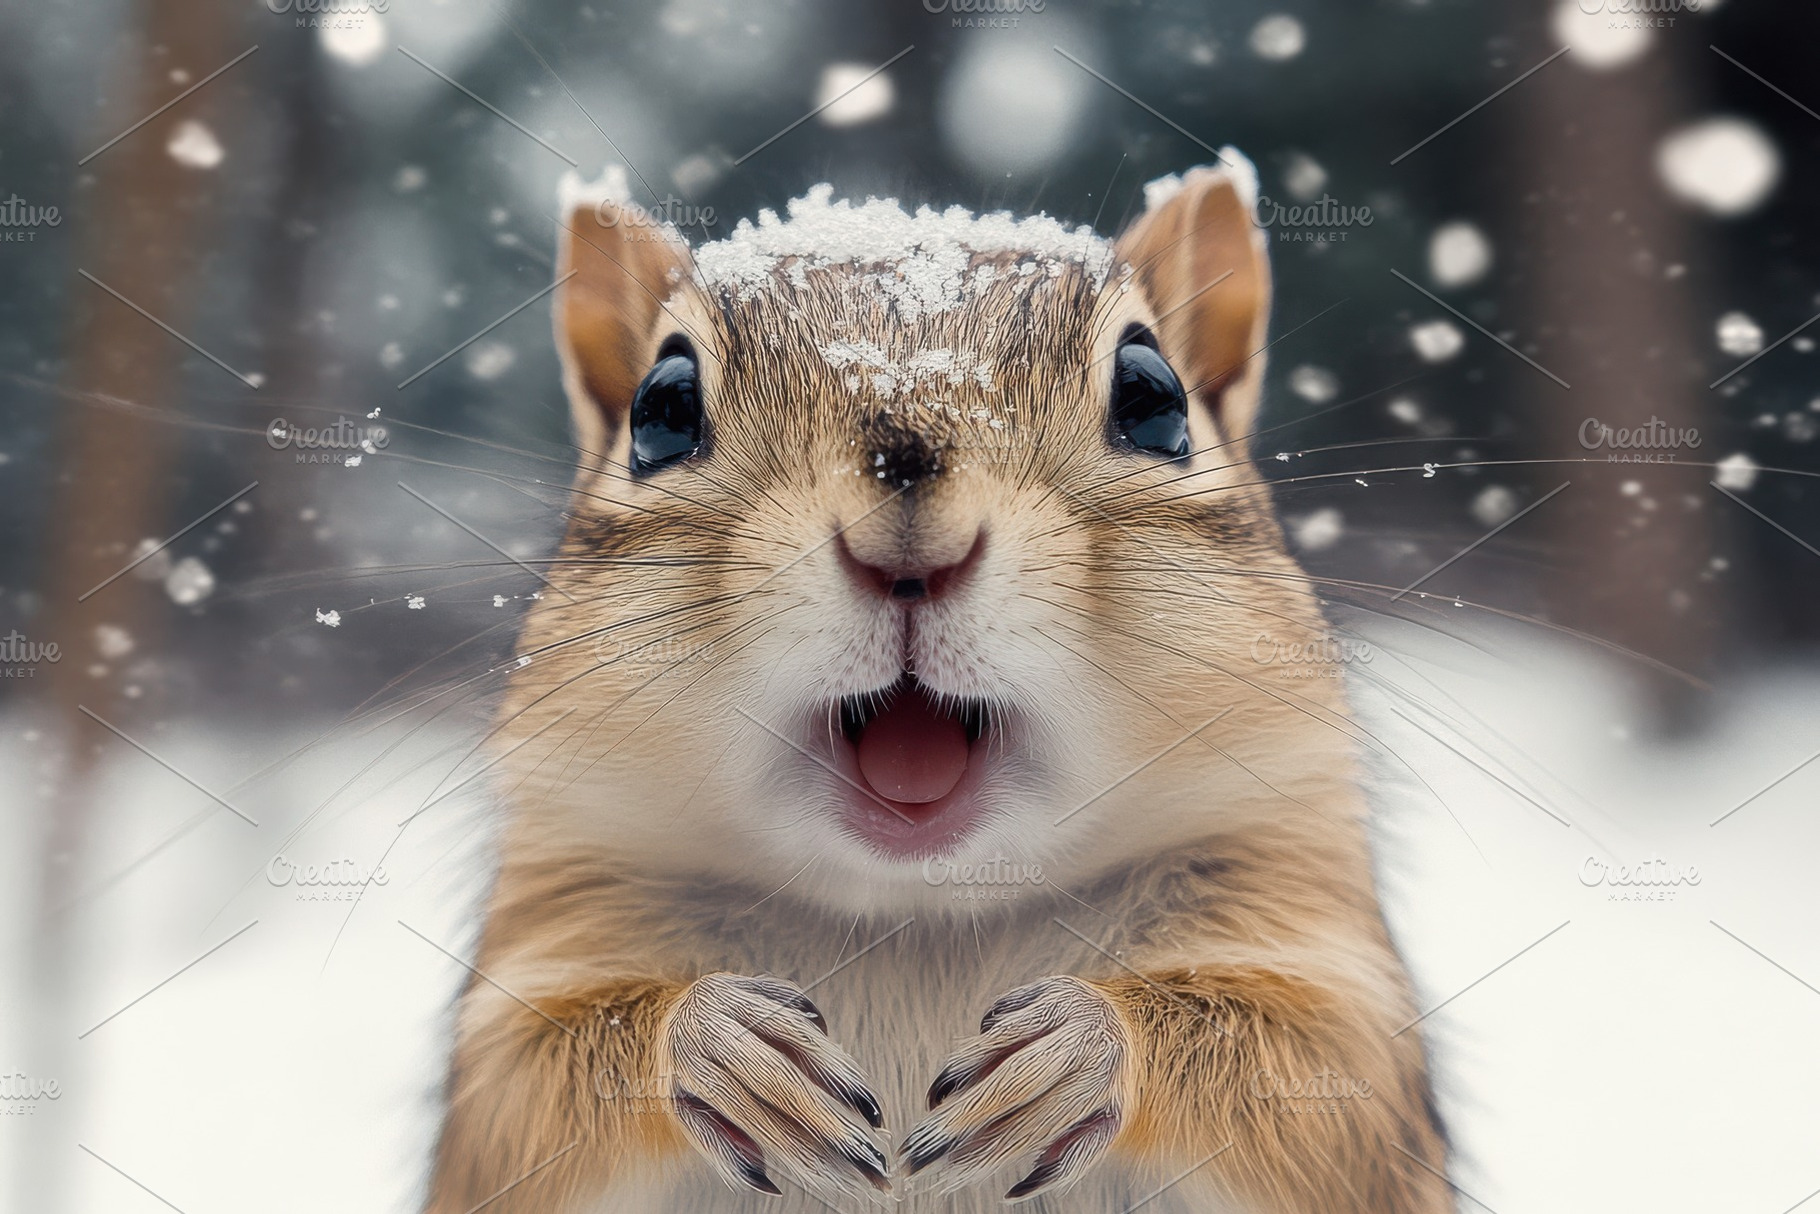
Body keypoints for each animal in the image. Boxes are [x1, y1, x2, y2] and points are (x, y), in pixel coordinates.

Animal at [423, 151, 1453, 1214]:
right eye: (660, 411)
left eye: (1154, 395)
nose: (908, 540)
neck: (918, 914)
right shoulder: (552, 928)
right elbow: (522, 1085)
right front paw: (717, 1045)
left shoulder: (1309, 918)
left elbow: (1321, 1072)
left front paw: (1080, 1047)